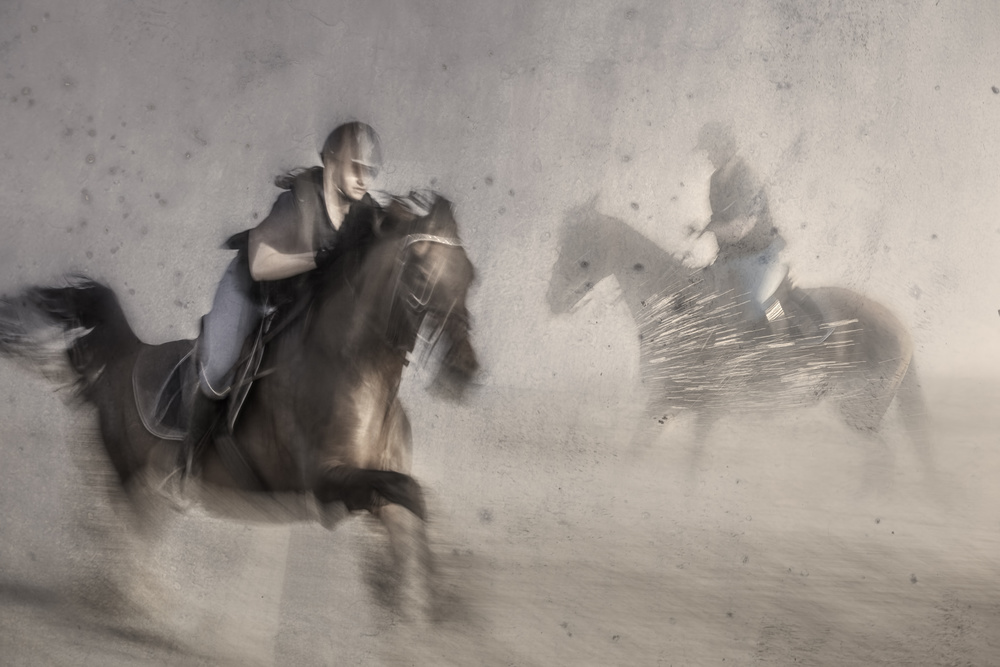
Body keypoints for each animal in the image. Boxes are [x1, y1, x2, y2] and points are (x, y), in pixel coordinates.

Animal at [0, 190, 476, 624]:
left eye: (469, 276)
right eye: (421, 276)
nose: (464, 368)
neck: (358, 375)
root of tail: (124, 354)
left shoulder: (371, 483)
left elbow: (409, 506)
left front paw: (411, 598)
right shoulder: (327, 480)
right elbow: (411, 494)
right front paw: (425, 599)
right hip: (132, 473)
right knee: (124, 531)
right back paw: (133, 601)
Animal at [544, 198, 932, 480]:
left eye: (582, 258)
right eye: (559, 248)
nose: (553, 302)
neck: (682, 309)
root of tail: (900, 329)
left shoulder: (703, 412)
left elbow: (689, 471)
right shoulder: (664, 405)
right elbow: (634, 457)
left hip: (858, 415)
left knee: (883, 458)